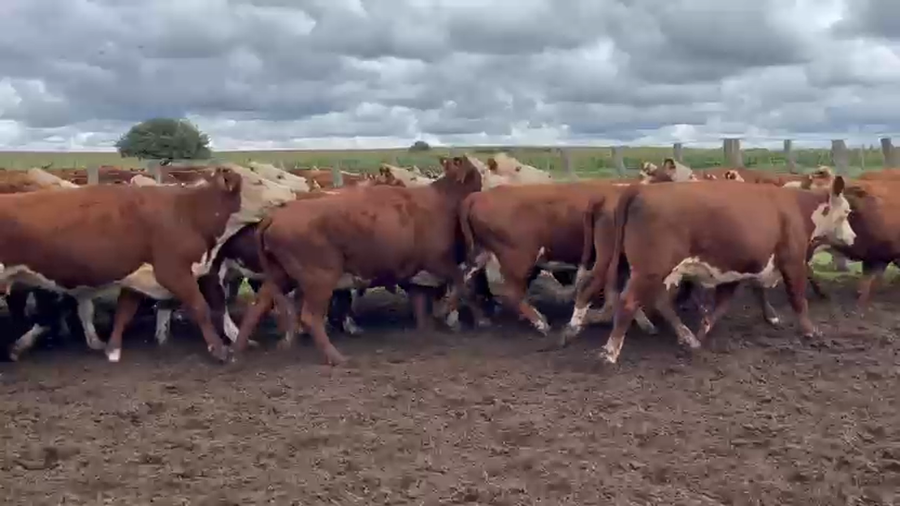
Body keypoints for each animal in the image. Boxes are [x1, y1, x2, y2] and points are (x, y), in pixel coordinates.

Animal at [0, 167, 244, 363]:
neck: (187, 212)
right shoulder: (172, 271)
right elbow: (200, 307)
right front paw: (219, 349)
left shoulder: (141, 275)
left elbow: (122, 311)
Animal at [231, 155, 484, 365]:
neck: (442, 200)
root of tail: (275, 215)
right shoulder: (438, 260)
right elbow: (461, 283)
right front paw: (449, 313)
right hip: (319, 279)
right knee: (310, 317)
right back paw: (335, 357)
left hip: (280, 276)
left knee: (257, 307)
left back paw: (237, 353)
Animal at [564, 177, 855, 364]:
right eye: (847, 211)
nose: (852, 237)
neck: (796, 207)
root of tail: (637, 191)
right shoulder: (792, 261)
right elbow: (798, 299)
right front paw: (810, 331)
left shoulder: (737, 269)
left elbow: (722, 305)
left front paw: (703, 330)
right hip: (649, 269)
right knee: (628, 301)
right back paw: (610, 351)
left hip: (629, 264)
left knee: (606, 289)